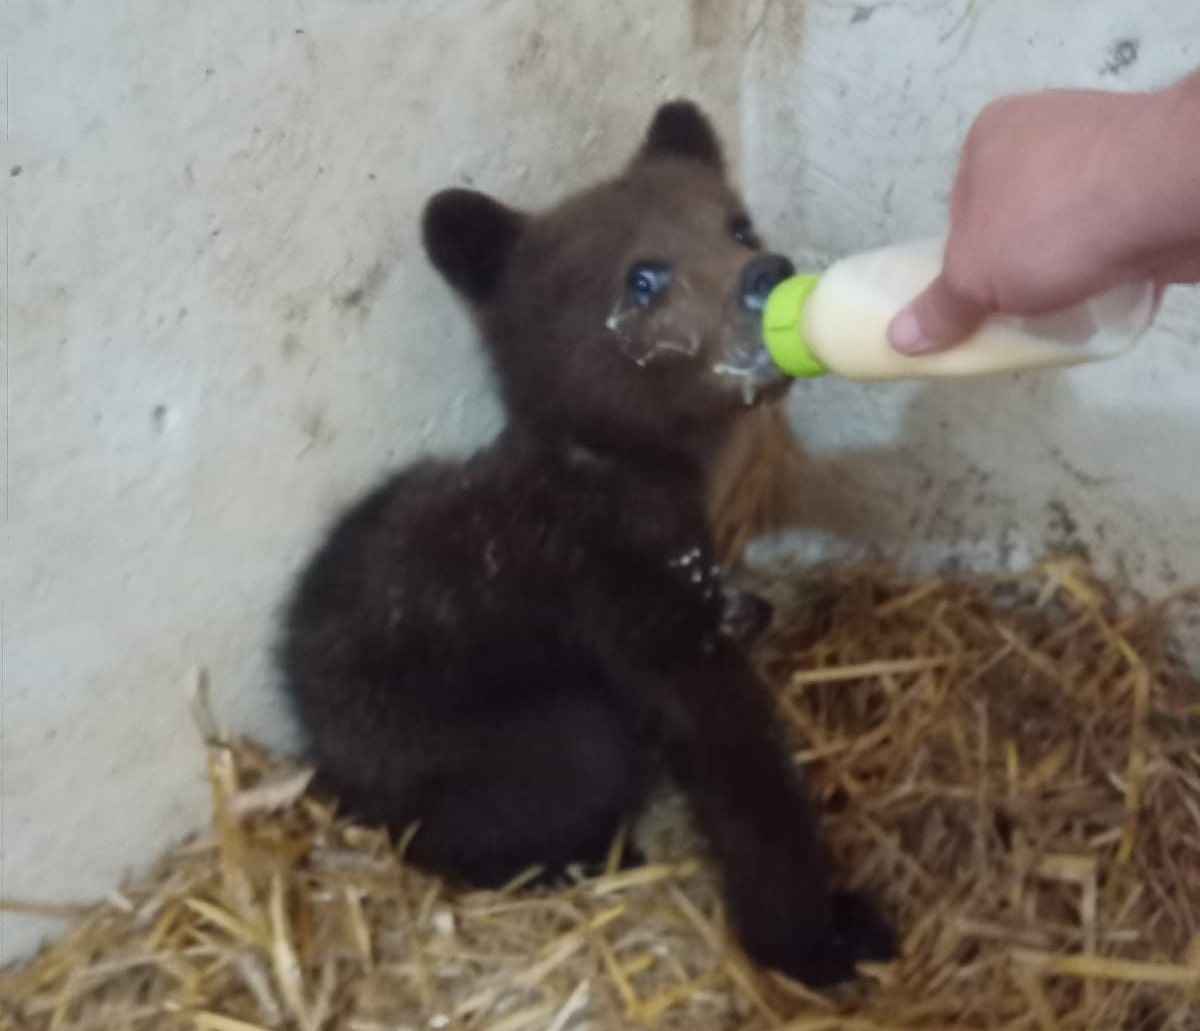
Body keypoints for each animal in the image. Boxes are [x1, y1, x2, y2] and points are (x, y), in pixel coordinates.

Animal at [279, 101, 895, 987]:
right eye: (643, 277)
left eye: (738, 224)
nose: (767, 272)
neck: (631, 465)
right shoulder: (629, 589)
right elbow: (731, 758)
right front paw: (821, 935)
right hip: (482, 737)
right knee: (565, 767)